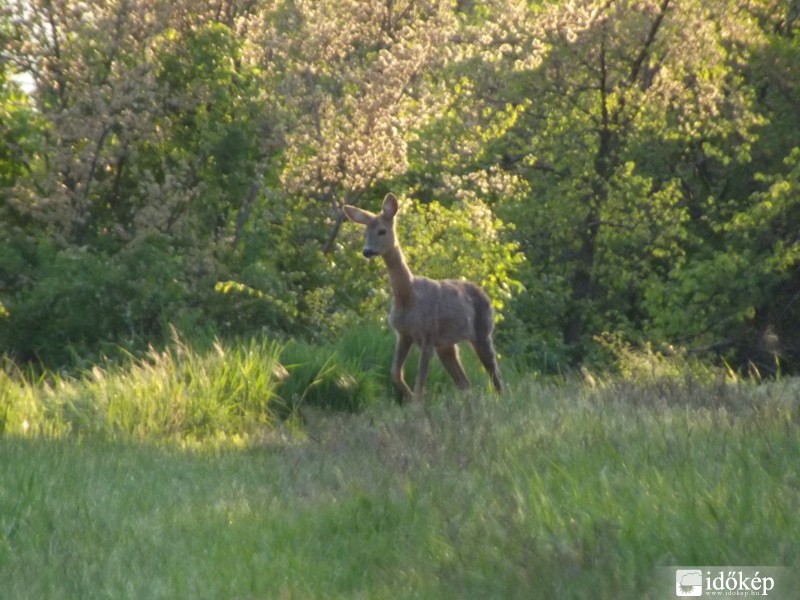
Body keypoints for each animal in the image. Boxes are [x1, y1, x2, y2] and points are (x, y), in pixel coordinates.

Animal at [342, 190, 504, 400]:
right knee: (465, 384)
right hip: (446, 346)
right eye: (365, 233)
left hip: (483, 332)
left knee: (496, 377)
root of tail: (486, 296)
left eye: (382, 231)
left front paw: (416, 401)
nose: (367, 251)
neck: (408, 298)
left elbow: (420, 382)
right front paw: (409, 397)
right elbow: (395, 373)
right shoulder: (404, 334)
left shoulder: (428, 334)